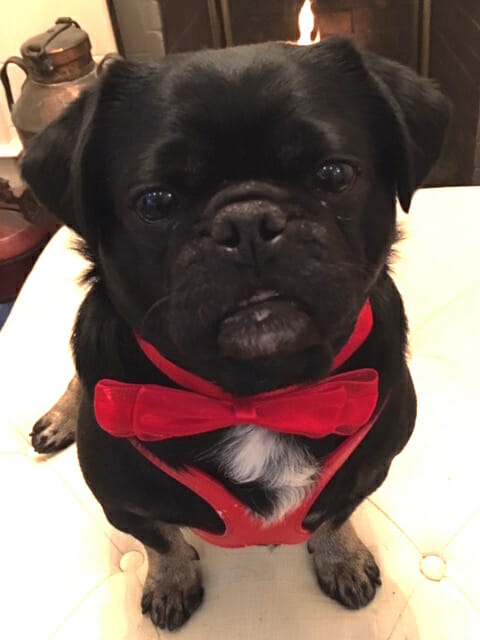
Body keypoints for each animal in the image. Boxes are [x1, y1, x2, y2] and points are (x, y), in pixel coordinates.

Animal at [22, 37, 450, 632]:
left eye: (334, 175)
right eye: (154, 202)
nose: (247, 222)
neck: (259, 395)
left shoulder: (369, 469)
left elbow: (337, 514)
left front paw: (342, 558)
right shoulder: (122, 503)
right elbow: (160, 542)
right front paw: (171, 581)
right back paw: (61, 415)